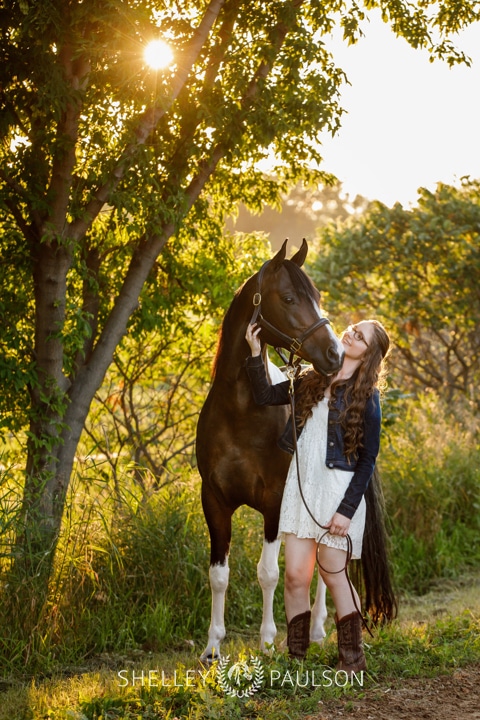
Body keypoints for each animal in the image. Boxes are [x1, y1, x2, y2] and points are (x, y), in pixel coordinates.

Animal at [195, 239, 344, 660]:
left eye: (317, 297)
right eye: (290, 298)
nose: (335, 354)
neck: (241, 412)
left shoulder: (274, 502)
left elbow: (268, 573)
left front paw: (266, 641)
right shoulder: (214, 502)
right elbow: (219, 575)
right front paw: (212, 647)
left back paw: (318, 629)